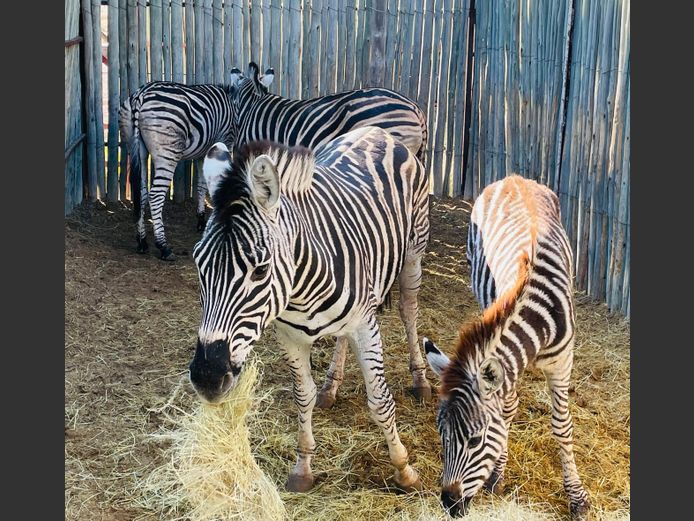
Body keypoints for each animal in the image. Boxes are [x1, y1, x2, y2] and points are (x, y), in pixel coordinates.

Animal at [188, 126, 430, 493]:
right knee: (342, 338)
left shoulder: (366, 326)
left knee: (408, 309)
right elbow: (303, 397)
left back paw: (420, 379)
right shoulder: (290, 337)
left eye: (260, 270)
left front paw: (403, 468)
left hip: (414, 252)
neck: (300, 290)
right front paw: (303, 468)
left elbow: (379, 400)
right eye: (199, 265)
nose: (207, 377)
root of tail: (377, 132)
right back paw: (331, 385)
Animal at [423, 175, 590, 519]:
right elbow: (507, 410)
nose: (449, 504)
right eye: (440, 435)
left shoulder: (562, 363)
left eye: (475, 441)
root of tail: (514, 178)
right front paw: (497, 474)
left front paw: (577, 497)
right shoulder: (508, 364)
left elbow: (562, 426)